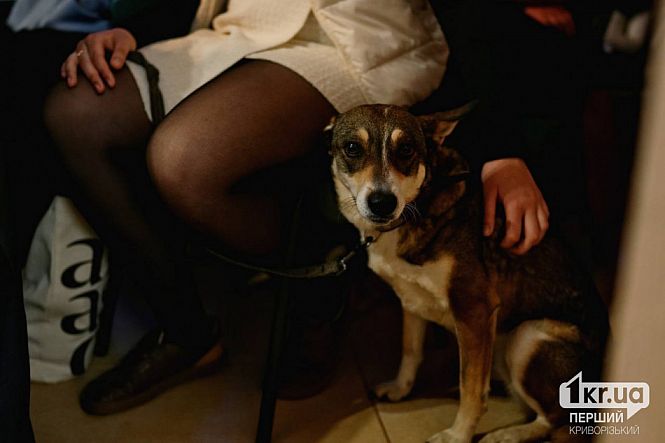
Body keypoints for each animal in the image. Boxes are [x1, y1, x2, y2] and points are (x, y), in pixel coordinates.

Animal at [327, 104, 608, 443]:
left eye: (406, 149)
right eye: (352, 148)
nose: (382, 202)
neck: (418, 207)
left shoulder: (474, 310)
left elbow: (471, 389)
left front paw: (457, 435)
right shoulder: (411, 300)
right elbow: (410, 350)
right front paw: (400, 388)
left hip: (526, 338)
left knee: (556, 417)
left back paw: (508, 435)